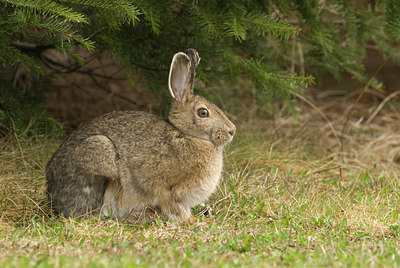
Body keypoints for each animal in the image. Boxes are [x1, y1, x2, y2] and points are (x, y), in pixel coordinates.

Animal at [45, 48, 236, 222]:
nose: (232, 131)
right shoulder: (167, 188)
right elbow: (173, 206)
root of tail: (53, 195)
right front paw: (191, 221)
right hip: (99, 155)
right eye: (203, 113)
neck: (186, 134)